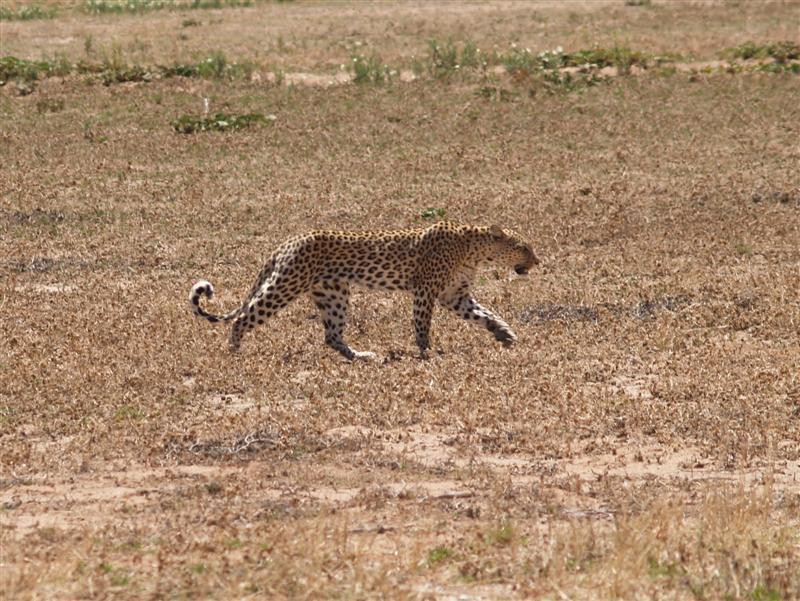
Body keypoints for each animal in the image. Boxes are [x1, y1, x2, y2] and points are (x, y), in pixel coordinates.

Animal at [188, 223, 536, 358]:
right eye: (524, 247)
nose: (538, 260)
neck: (474, 251)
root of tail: (287, 242)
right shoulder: (425, 290)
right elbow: (422, 324)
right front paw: (426, 352)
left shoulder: (455, 294)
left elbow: (484, 313)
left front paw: (504, 333)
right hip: (287, 284)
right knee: (243, 318)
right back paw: (234, 351)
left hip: (333, 295)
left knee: (331, 335)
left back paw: (361, 356)